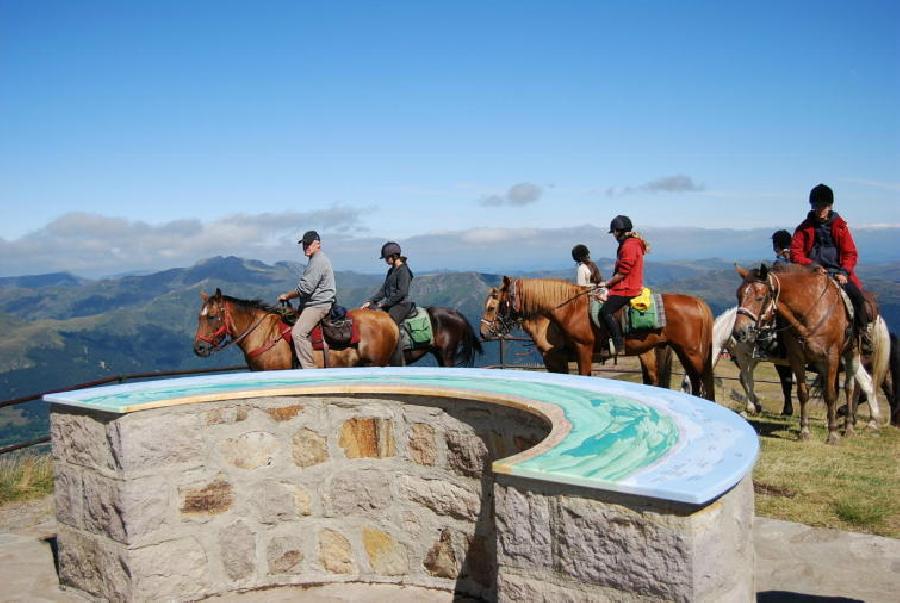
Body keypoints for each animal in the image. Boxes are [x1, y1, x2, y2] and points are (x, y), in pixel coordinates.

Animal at [482, 280, 712, 402]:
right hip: (676, 350)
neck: (569, 309)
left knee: (700, 378)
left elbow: (583, 376)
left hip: (689, 351)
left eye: (492, 307)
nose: (483, 332)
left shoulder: (578, 351)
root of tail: (697, 303)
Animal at [736, 264, 868, 444]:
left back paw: (848, 427)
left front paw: (832, 434)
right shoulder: (797, 359)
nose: (739, 332)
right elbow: (803, 393)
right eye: (738, 295)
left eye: (760, 297)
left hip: (851, 354)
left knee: (849, 388)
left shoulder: (831, 357)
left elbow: (831, 395)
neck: (811, 311)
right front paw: (804, 431)